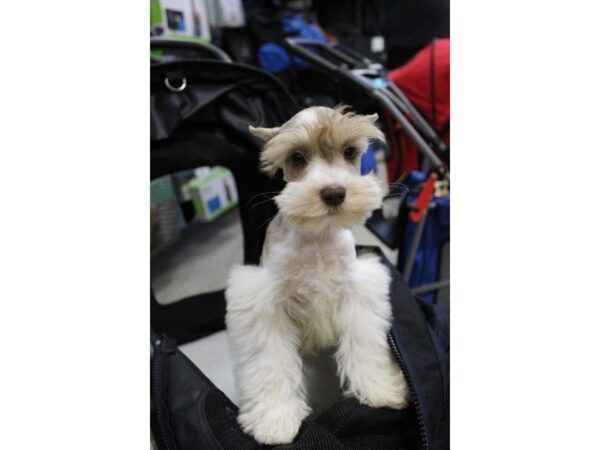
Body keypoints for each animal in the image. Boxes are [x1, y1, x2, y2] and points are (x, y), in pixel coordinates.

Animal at [223, 106, 410, 446]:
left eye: (349, 152)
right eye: (297, 158)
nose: (334, 192)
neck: (317, 237)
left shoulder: (357, 293)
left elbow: (365, 346)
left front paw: (381, 391)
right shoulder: (264, 304)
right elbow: (271, 363)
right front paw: (275, 420)